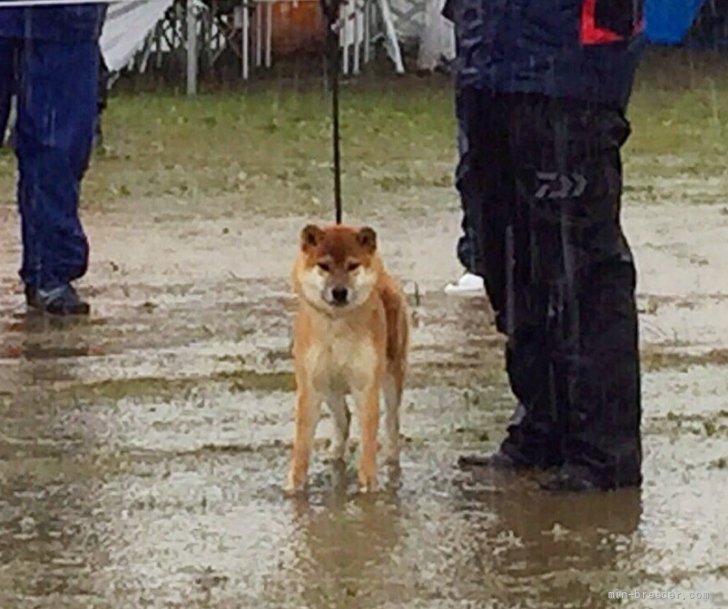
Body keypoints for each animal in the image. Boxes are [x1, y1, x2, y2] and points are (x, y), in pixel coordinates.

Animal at [286, 223, 410, 494]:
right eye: (324, 265)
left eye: (353, 265)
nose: (340, 292)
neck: (337, 326)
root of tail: (384, 277)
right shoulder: (310, 387)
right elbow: (301, 445)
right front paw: (294, 487)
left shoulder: (366, 387)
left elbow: (369, 441)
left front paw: (369, 486)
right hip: (330, 387)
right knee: (343, 418)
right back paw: (335, 454)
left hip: (392, 375)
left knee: (392, 423)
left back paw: (392, 463)